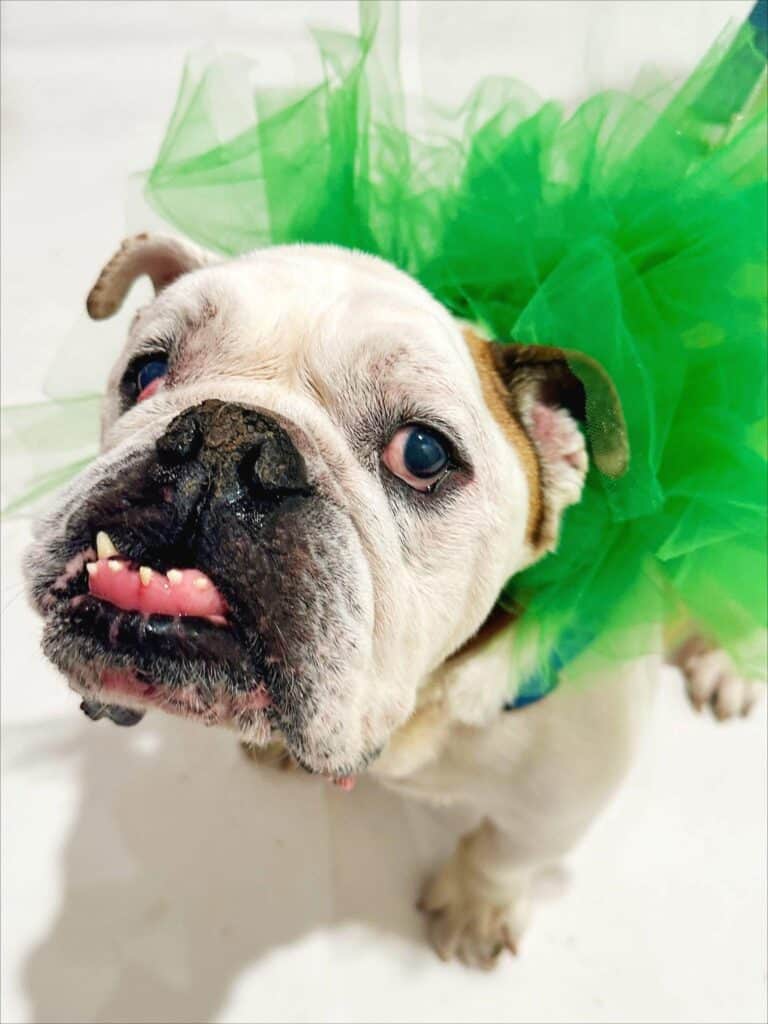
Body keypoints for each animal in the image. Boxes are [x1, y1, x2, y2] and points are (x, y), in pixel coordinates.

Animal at [25, 234, 761, 968]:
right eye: (147, 372)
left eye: (424, 454)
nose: (229, 436)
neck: (416, 710)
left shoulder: (565, 790)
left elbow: (507, 851)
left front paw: (474, 910)